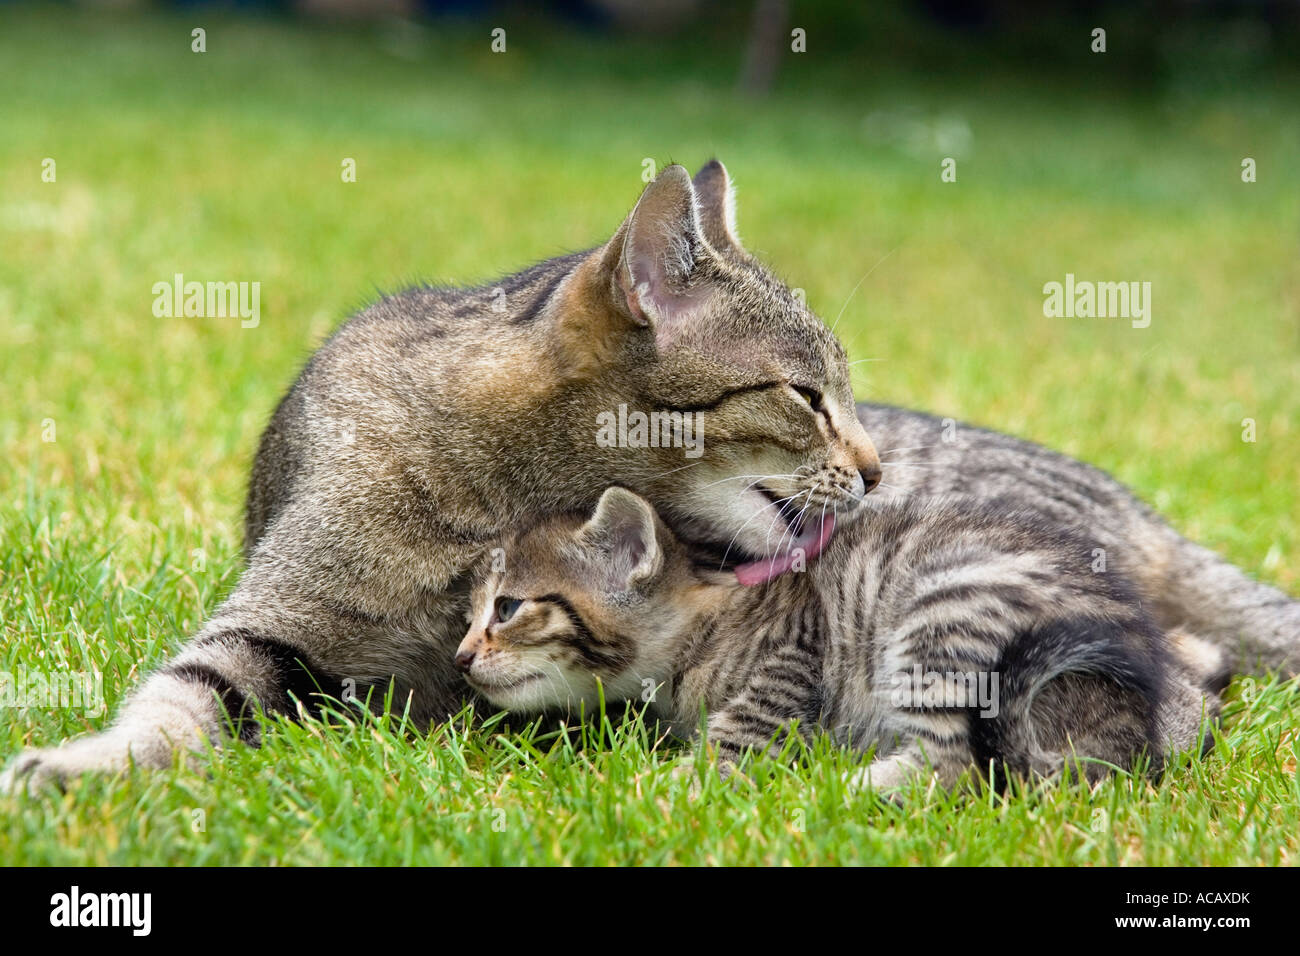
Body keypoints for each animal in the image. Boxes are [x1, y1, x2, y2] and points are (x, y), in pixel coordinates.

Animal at [457, 489, 1227, 790]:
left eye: (508, 607)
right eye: (470, 613)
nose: (462, 656)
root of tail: (1133, 733)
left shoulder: (794, 655)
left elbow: (734, 738)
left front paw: (656, 787)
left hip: (944, 613)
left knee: (955, 767)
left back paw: (844, 785)